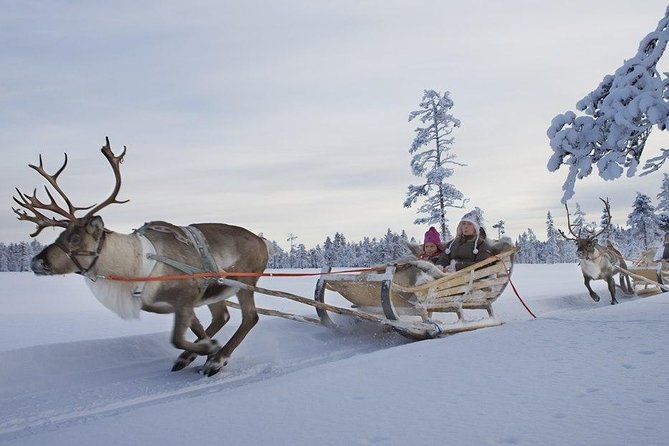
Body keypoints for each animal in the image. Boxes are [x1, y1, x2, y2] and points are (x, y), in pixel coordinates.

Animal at [12, 137, 271, 376]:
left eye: (75, 238)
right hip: (218, 289)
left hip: (245, 282)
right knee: (223, 316)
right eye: (60, 234)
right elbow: (196, 331)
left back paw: (218, 360)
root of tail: (263, 242)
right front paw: (201, 350)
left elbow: (177, 338)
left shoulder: (184, 297)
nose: (37, 261)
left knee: (251, 317)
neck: (134, 265)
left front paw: (210, 351)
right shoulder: (181, 302)